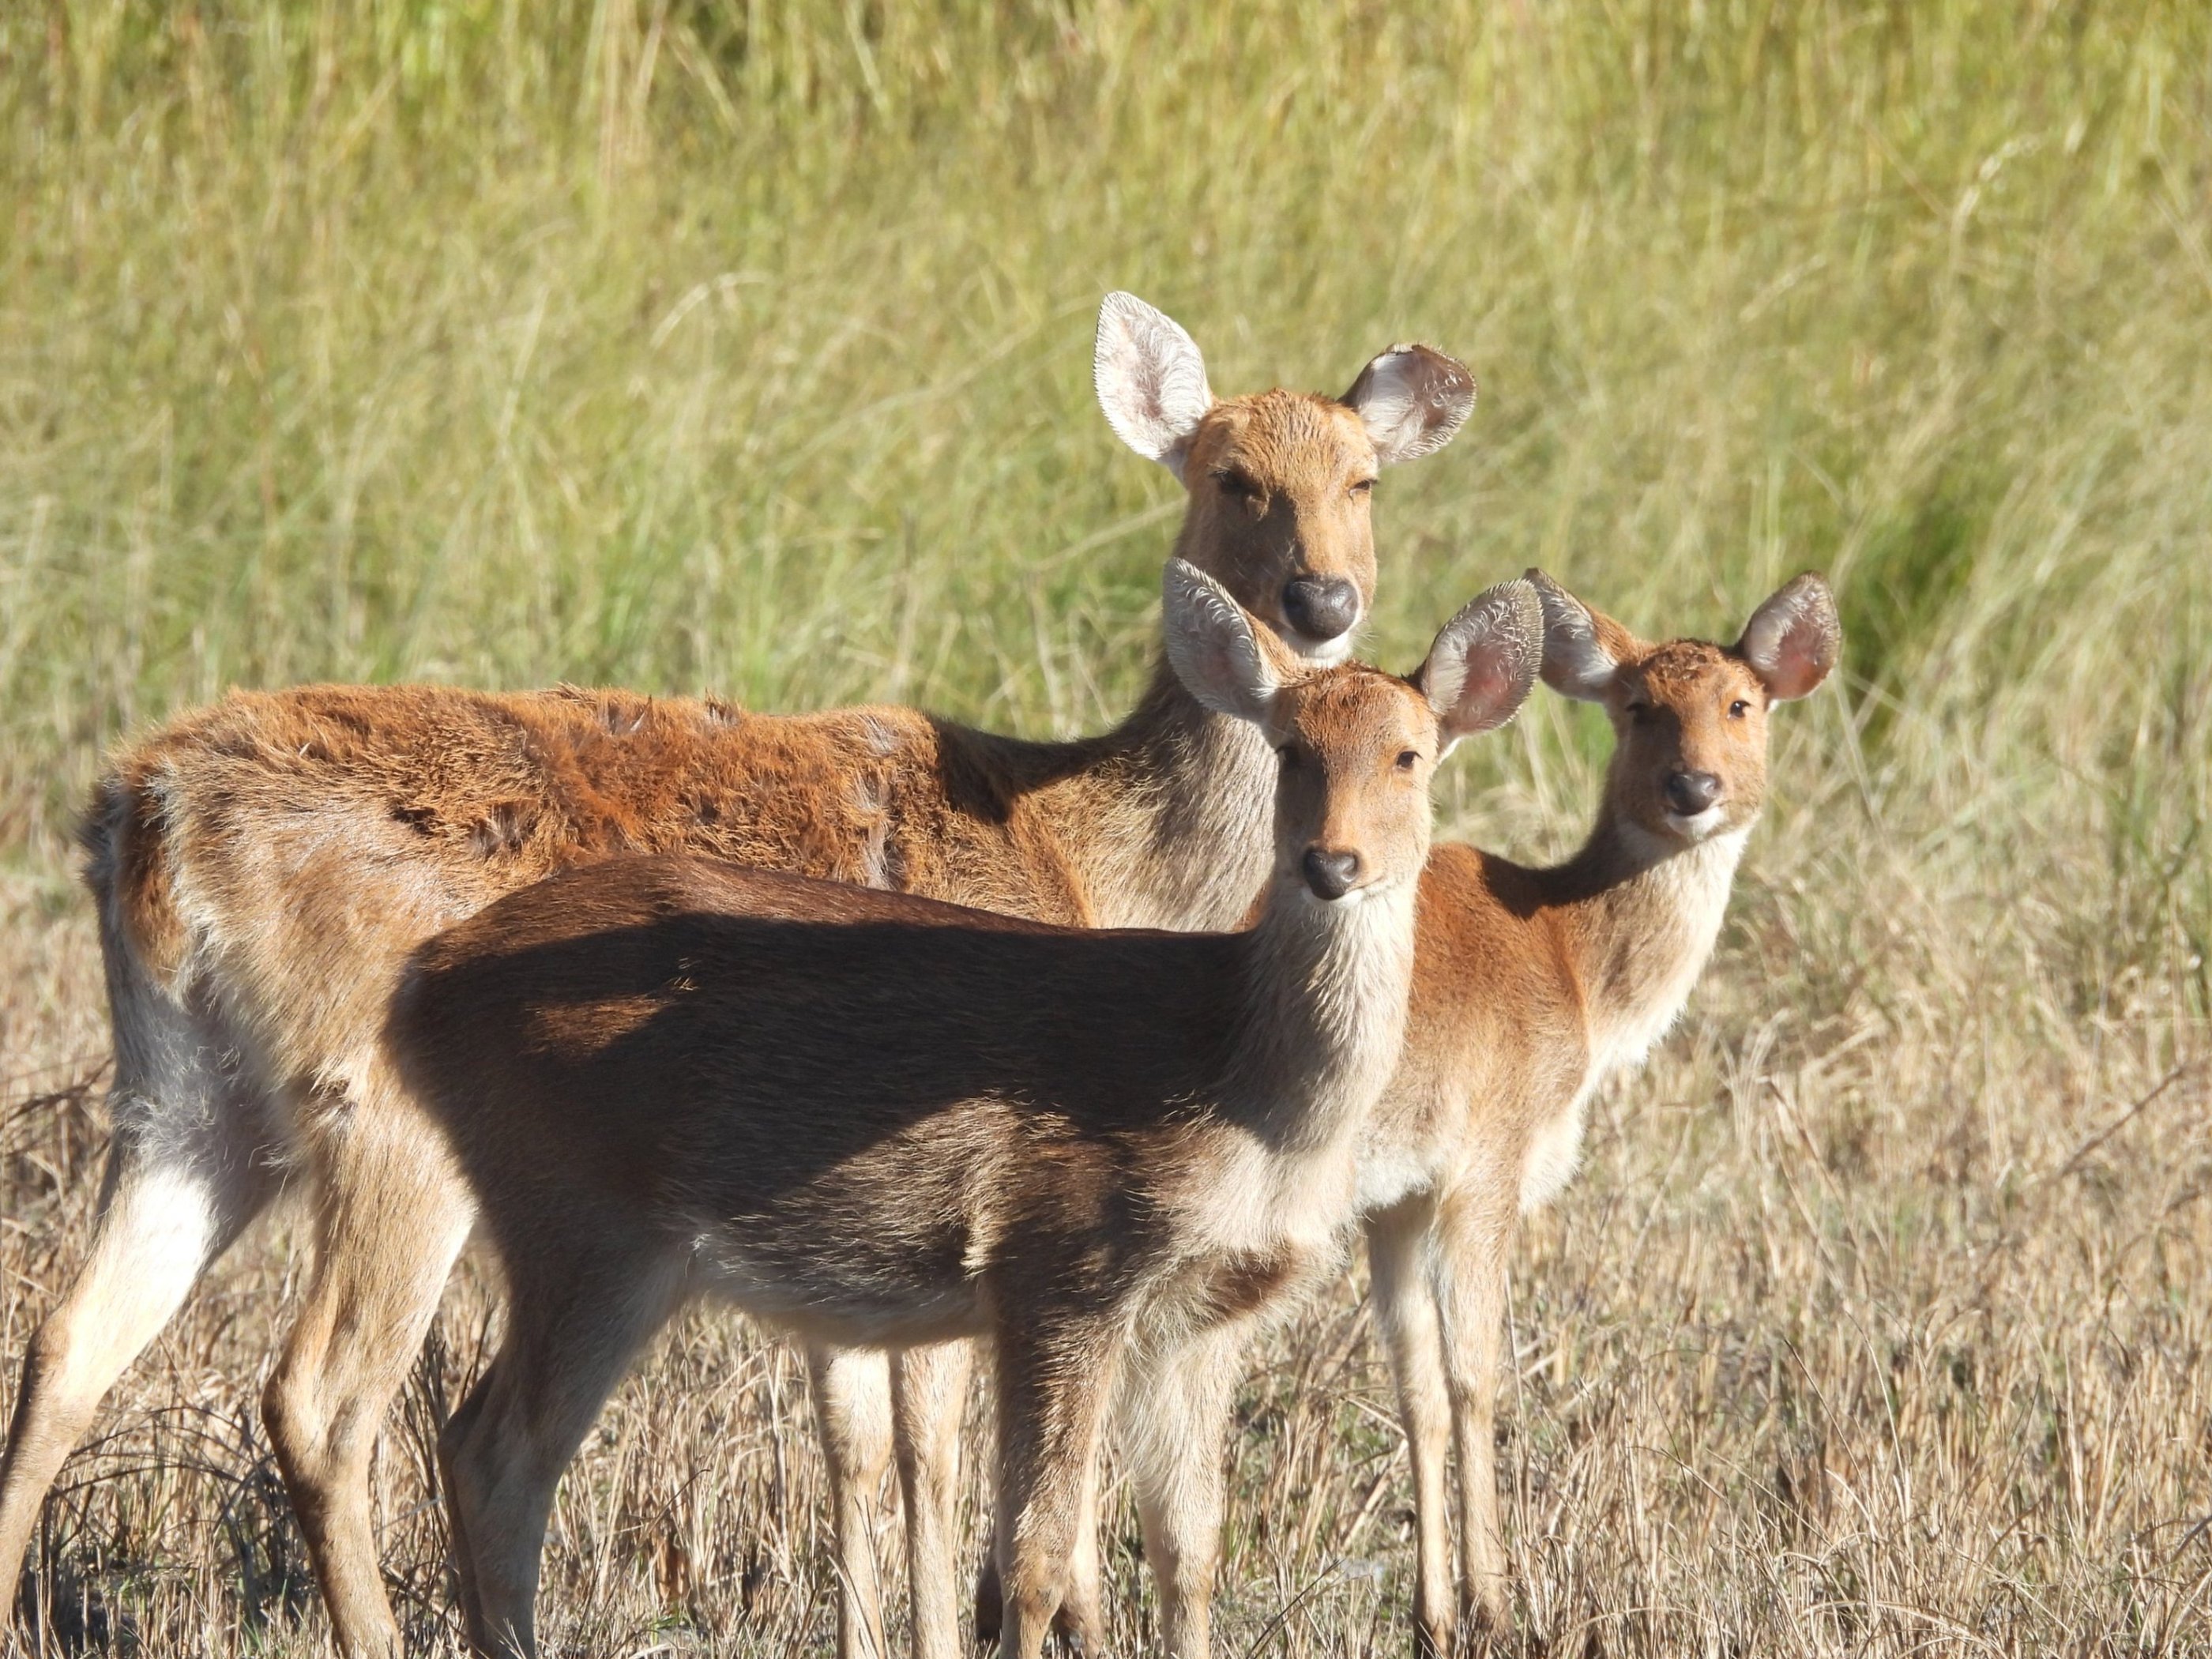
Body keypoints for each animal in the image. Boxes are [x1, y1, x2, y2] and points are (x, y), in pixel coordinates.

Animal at [383, 563, 1545, 1659]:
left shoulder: (1203, 1311)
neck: (1246, 1087)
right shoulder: (1060, 1264)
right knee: (495, 1457)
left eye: (1409, 755)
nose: (1330, 863)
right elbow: (1035, 1557)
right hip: (583, 1222)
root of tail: (420, 987)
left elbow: (1188, 1548)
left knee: (469, 1440)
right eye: (1292, 750)